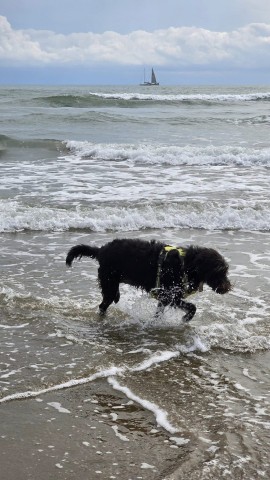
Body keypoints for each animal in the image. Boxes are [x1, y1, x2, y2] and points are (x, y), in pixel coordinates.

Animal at [66, 237, 231, 320]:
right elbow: (192, 307)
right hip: (109, 284)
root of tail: (101, 250)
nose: (228, 287)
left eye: (226, 271)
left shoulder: (165, 299)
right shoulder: (169, 296)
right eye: (219, 271)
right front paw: (186, 318)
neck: (186, 265)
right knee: (102, 306)